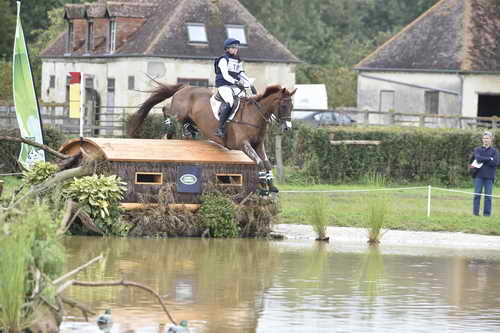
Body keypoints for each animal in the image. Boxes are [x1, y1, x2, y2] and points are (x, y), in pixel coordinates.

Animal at [127, 81, 296, 192]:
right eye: (283, 106)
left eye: (292, 106)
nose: (287, 128)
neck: (254, 115)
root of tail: (185, 87)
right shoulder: (243, 144)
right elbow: (260, 163)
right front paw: (263, 186)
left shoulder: (258, 144)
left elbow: (266, 164)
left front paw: (271, 186)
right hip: (179, 112)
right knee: (166, 109)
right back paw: (168, 125)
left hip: (189, 119)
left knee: (185, 128)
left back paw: (184, 132)